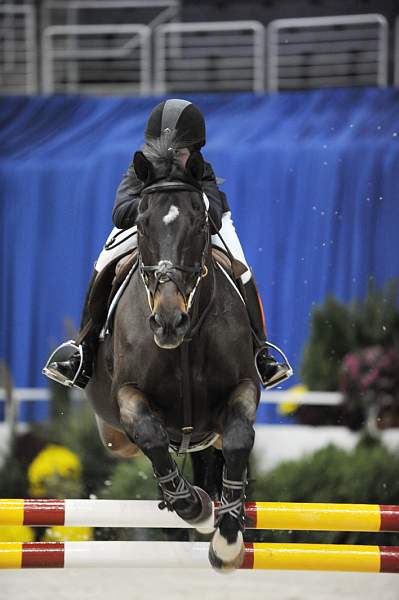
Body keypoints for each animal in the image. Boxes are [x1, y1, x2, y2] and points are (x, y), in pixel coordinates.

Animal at [86, 141, 260, 572]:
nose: (168, 322)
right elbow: (150, 435)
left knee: (217, 449)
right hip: (113, 436)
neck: (185, 342)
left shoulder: (243, 387)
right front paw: (195, 507)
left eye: (199, 224)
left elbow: (237, 439)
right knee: (139, 444)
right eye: (142, 223)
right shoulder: (129, 396)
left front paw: (227, 540)